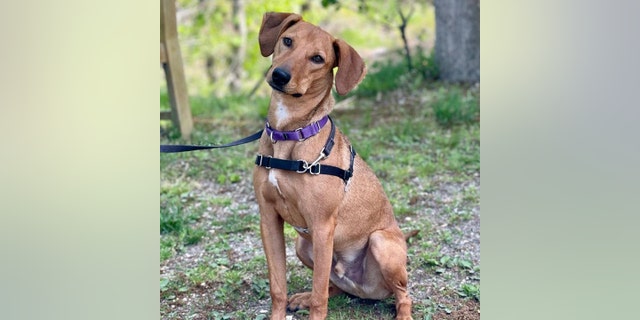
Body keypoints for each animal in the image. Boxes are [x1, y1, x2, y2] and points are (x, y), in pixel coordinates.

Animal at [252, 12, 412, 320]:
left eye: (318, 58)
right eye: (287, 41)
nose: (280, 76)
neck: (290, 133)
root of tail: (364, 290)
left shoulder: (322, 226)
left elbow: (320, 300)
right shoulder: (269, 219)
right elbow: (278, 287)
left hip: (380, 243)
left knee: (403, 295)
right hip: (303, 244)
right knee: (331, 285)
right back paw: (302, 297)